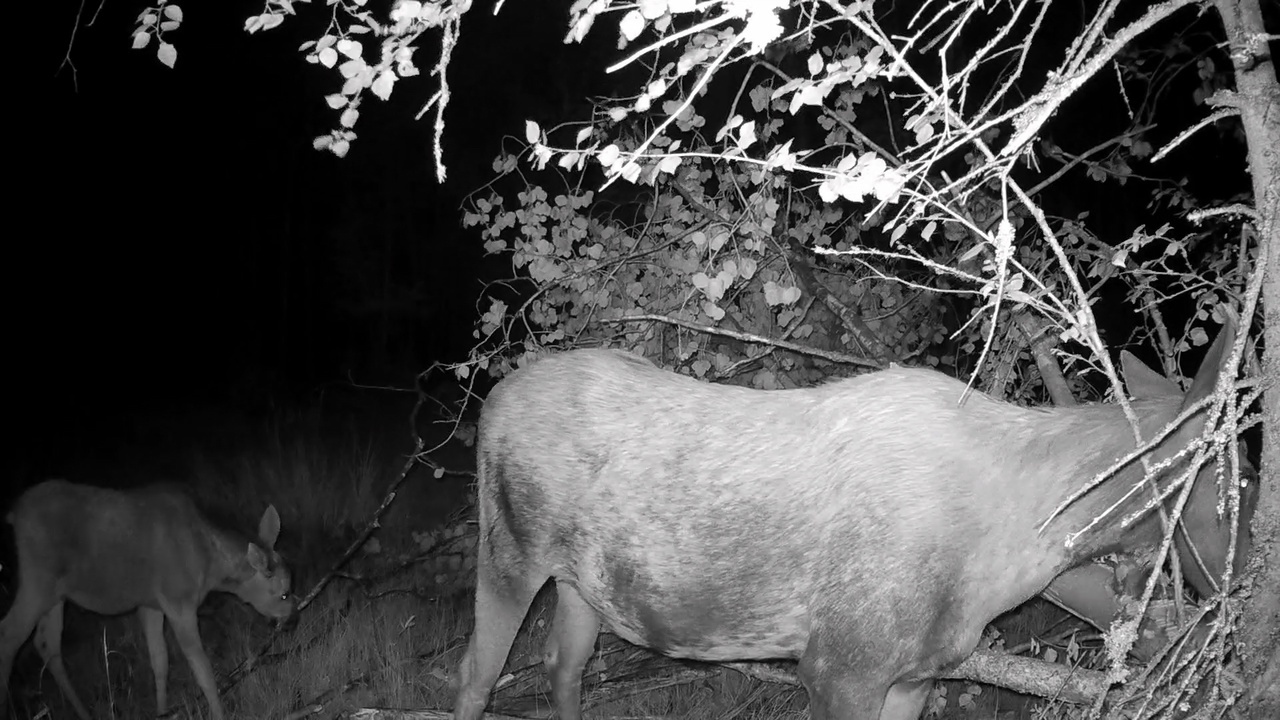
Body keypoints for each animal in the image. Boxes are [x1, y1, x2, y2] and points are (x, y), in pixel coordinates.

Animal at [0, 479, 293, 717]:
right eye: (284, 593)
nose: (292, 619)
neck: (211, 567)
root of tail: (14, 513)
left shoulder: (151, 605)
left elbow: (160, 660)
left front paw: (162, 711)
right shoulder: (179, 602)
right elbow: (203, 669)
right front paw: (218, 713)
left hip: (55, 594)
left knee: (46, 643)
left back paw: (83, 712)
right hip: (36, 580)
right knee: (9, 635)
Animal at [453, 319, 1249, 717]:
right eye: (1232, 480)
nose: (1238, 583)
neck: (1009, 556)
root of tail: (490, 403)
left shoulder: (916, 673)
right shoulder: (841, 663)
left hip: (582, 582)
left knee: (561, 668)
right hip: (507, 547)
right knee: (474, 674)